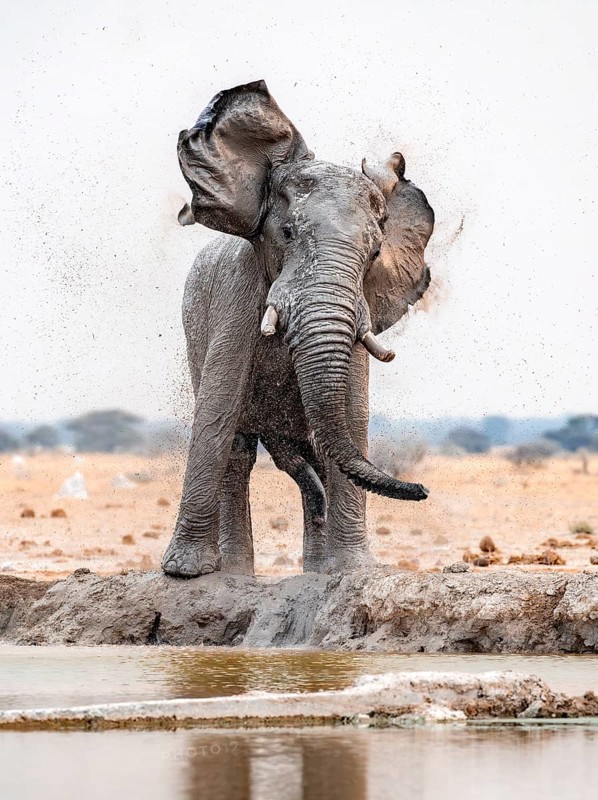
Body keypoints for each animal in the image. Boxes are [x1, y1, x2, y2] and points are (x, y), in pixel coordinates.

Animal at [162, 80, 434, 578]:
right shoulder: (235, 295)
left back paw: (316, 568)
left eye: (373, 254)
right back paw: (235, 573)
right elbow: (217, 410)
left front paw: (353, 570)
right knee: (243, 451)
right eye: (287, 233)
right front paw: (184, 573)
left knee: (312, 456)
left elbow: (352, 412)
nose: (422, 489)